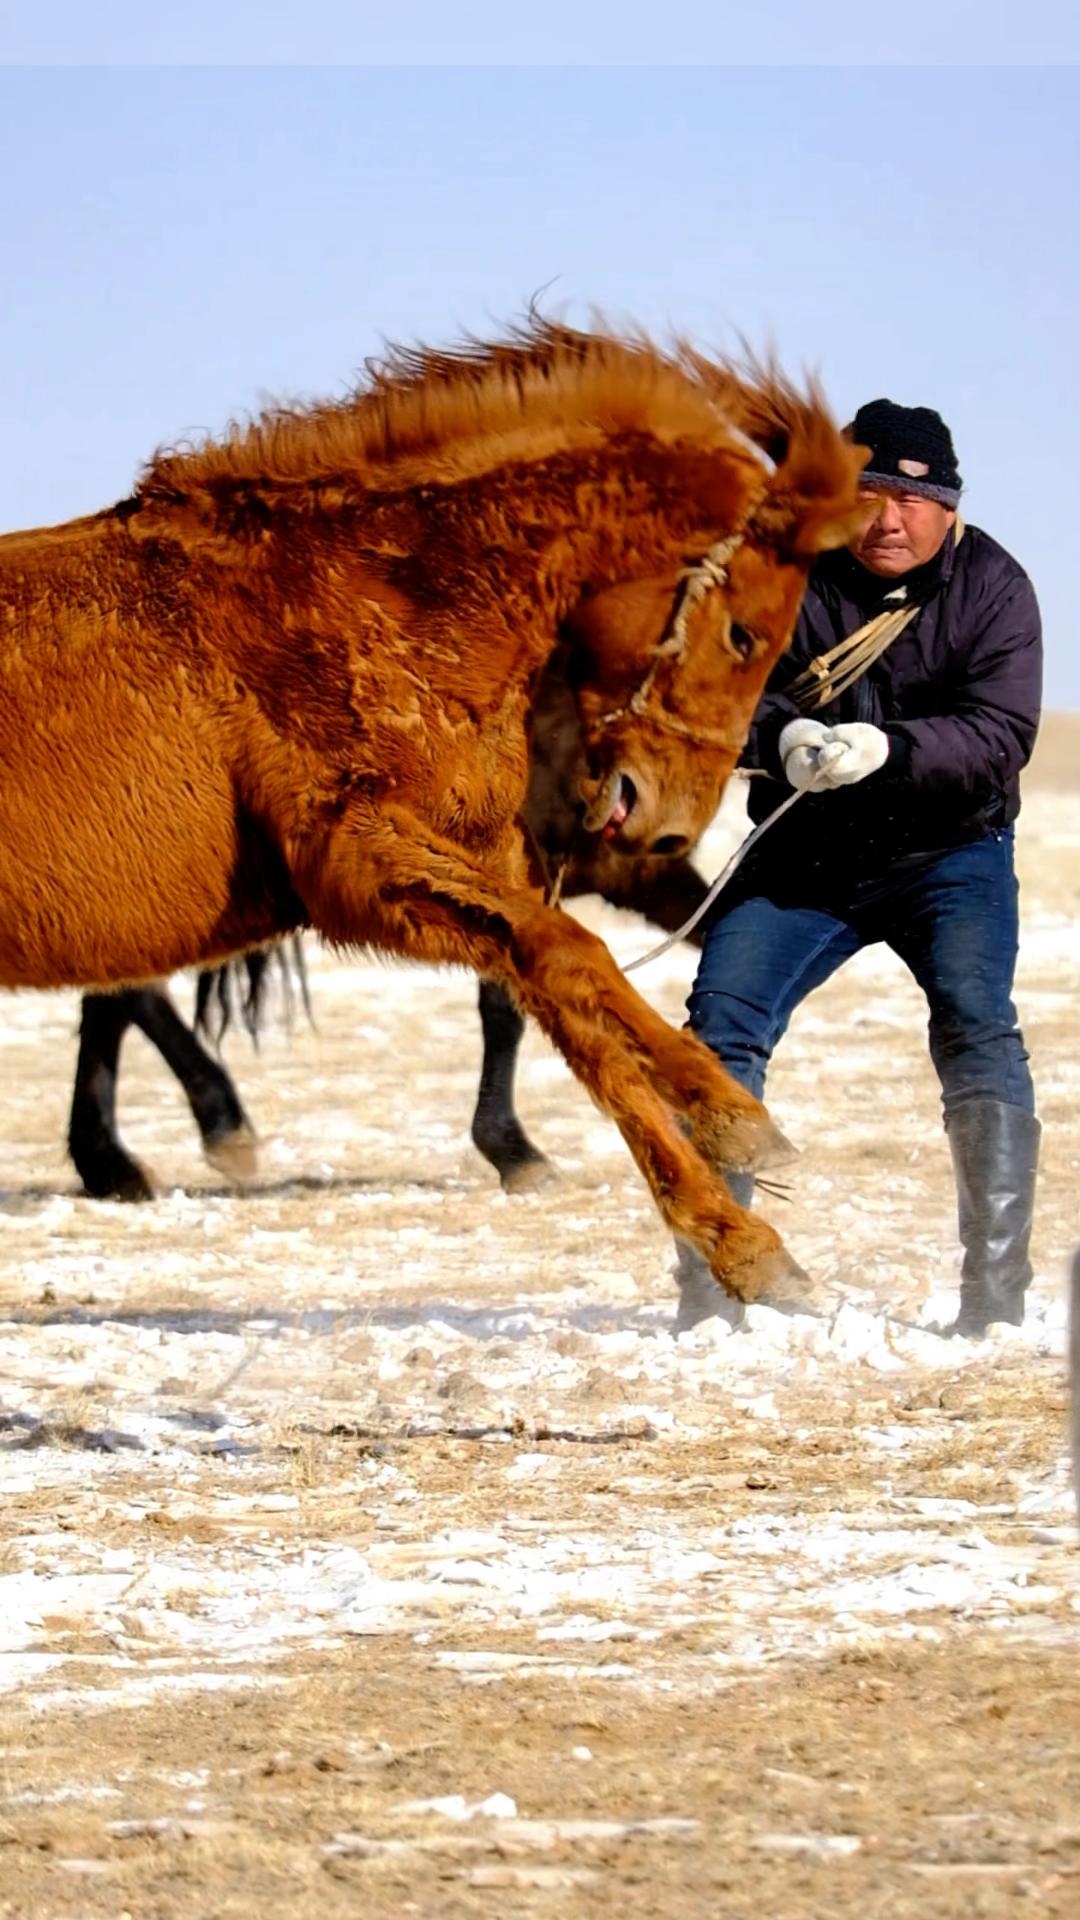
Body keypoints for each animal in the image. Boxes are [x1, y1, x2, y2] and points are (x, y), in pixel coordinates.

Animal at [0, 322, 864, 1313]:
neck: (374, 593)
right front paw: (735, 1171)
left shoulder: (484, 864)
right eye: (744, 635)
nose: (670, 825)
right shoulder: (359, 863)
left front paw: (732, 1174)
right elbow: (567, 958)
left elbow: (554, 982)